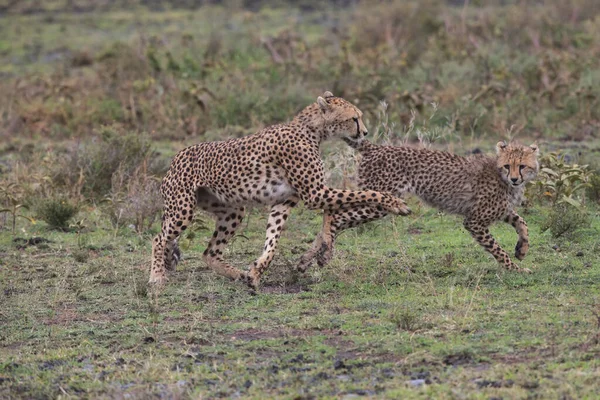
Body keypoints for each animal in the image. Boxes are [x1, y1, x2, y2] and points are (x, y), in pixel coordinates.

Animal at [150, 92, 412, 290]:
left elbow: (272, 242)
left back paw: (238, 275)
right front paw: (396, 203)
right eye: (354, 118)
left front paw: (255, 273)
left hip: (232, 211)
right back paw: (156, 277)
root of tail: (176, 157)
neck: (312, 130)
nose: (365, 133)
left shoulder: (284, 201)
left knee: (209, 253)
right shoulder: (315, 193)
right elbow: (367, 194)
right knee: (158, 239)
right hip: (183, 209)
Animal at [298, 139, 540, 274]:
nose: (515, 179)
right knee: (333, 213)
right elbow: (497, 249)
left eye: (522, 166)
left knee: (334, 215)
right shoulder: (474, 220)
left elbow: (522, 222)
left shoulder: (499, 211)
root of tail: (377, 147)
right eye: (508, 166)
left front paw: (522, 250)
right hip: (379, 202)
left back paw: (309, 259)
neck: (501, 176)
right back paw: (323, 251)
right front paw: (515, 268)